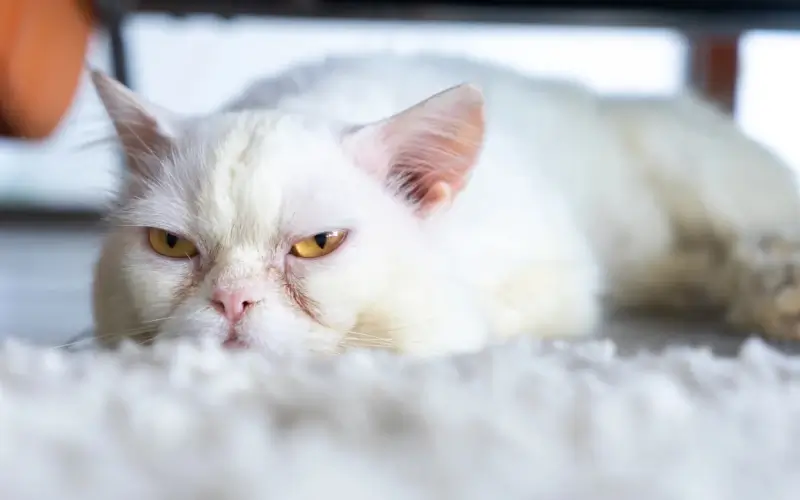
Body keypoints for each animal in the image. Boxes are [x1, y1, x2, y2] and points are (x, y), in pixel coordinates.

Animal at [90, 53, 800, 356]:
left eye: (318, 245)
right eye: (172, 246)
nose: (232, 302)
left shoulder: (559, 282)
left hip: (707, 180)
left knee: (745, 240)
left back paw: (778, 295)